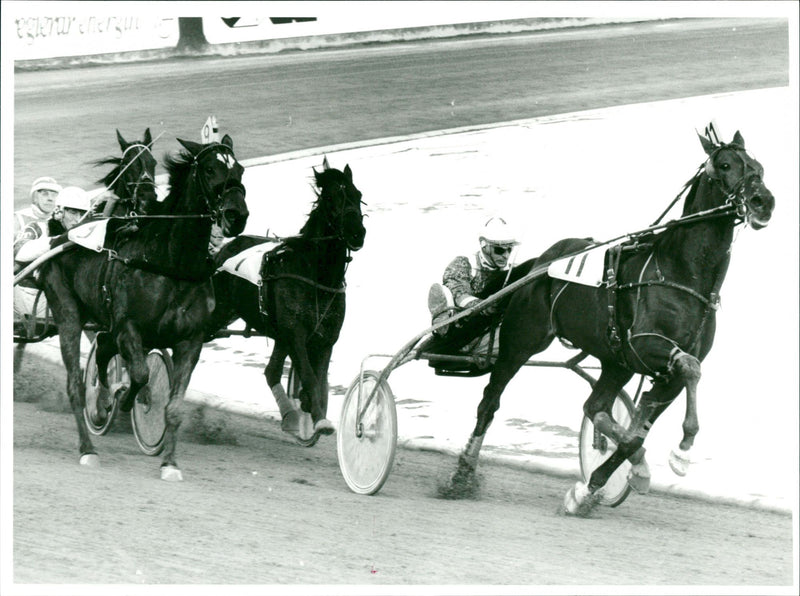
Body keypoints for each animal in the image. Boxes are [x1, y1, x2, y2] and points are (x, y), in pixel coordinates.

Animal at [37, 134, 248, 480]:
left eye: (239, 169)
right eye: (209, 168)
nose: (237, 215)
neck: (171, 262)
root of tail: (61, 236)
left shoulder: (190, 341)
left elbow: (174, 406)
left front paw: (170, 463)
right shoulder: (129, 328)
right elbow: (140, 374)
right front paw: (125, 401)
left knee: (103, 347)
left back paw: (104, 403)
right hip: (67, 313)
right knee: (75, 384)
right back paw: (88, 447)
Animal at [208, 157, 368, 442]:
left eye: (357, 195)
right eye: (331, 198)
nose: (356, 233)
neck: (316, 274)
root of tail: (222, 251)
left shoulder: (325, 338)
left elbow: (317, 379)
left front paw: (311, 413)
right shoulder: (295, 332)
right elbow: (309, 376)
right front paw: (317, 418)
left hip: (276, 331)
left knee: (271, 371)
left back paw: (291, 417)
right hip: (219, 312)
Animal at [444, 130, 776, 512]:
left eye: (759, 167)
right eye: (724, 165)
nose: (763, 201)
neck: (681, 272)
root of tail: (542, 262)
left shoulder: (660, 368)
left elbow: (638, 428)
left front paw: (591, 488)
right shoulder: (647, 345)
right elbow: (688, 372)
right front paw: (680, 453)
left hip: (616, 361)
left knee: (595, 406)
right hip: (521, 341)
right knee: (490, 402)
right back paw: (462, 473)